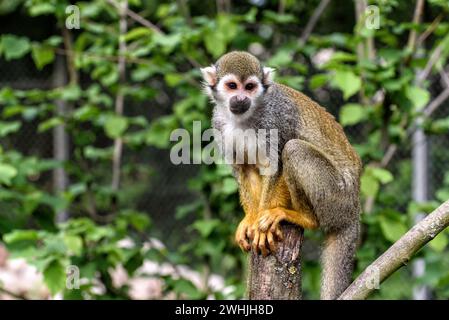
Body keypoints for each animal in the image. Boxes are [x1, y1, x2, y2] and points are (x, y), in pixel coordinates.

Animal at [201, 51, 362, 298]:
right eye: (232, 86)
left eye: (249, 87)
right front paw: (251, 220)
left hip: (337, 197)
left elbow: (276, 164)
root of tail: (355, 207)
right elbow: (244, 168)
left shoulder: (276, 118)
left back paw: (302, 217)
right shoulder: (218, 124)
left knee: (294, 149)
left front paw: (264, 223)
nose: (240, 98)